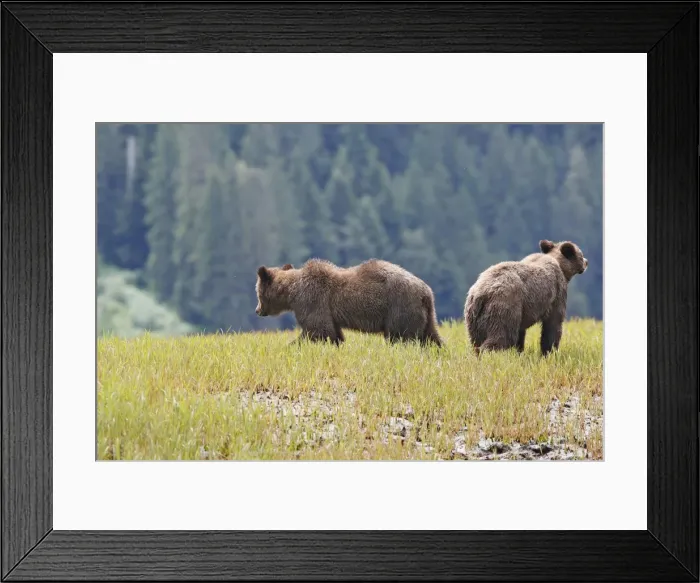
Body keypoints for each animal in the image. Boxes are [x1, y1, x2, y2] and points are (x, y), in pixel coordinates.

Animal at [255, 258, 443, 347]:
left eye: (257, 293)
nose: (257, 310)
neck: (292, 293)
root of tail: (426, 292)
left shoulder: (312, 300)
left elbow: (317, 330)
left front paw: (290, 346)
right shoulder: (327, 312)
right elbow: (333, 333)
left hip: (399, 308)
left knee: (400, 337)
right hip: (425, 315)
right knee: (431, 337)